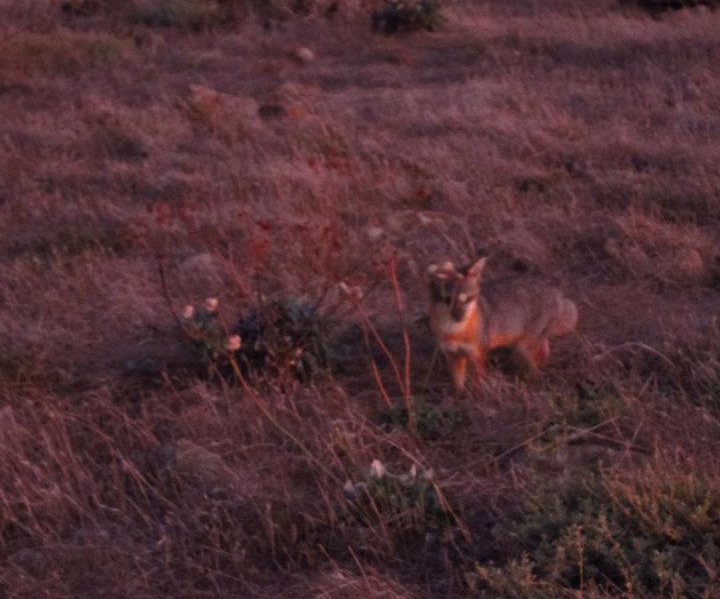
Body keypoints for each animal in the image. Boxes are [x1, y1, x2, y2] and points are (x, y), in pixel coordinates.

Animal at [428, 258, 580, 394]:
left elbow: (478, 381)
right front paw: (458, 398)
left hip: (523, 347)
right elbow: (458, 383)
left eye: (467, 299)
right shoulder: (453, 354)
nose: (459, 316)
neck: (454, 331)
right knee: (545, 350)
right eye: (448, 300)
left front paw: (477, 396)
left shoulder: (477, 353)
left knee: (538, 360)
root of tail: (556, 292)